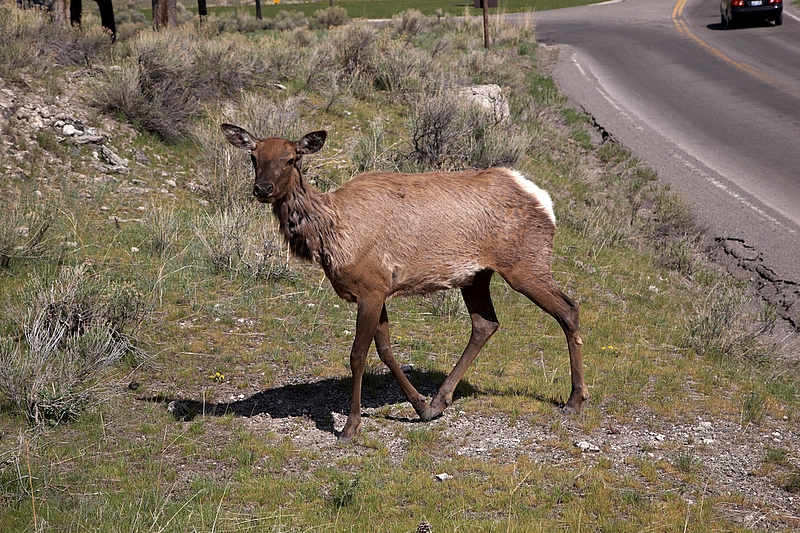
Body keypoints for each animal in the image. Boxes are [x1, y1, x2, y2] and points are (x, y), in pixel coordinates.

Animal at [220, 123, 588, 440]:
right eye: (253, 156)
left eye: (292, 158)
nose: (262, 188)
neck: (330, 237)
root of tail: (544, 200)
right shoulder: (378, 289)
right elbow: (385, 349)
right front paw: (421, 407)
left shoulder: (370, 287)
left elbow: (358, 355)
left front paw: (350, 427)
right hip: (476, 276)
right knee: (486, 323)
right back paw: (440, 400)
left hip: (525, 264)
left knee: (568, 309)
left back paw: (574, 399)